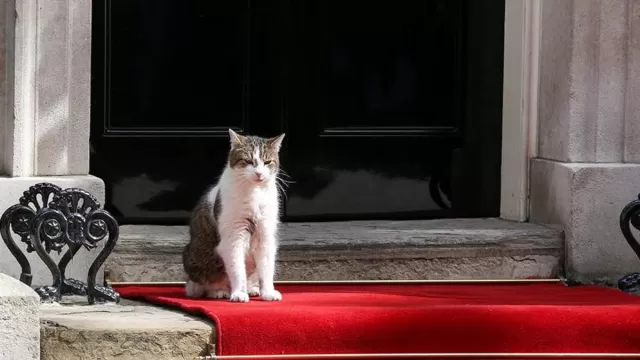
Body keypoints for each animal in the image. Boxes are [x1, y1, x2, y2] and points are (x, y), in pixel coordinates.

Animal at [181, 128, 284, 302]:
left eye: (267, 162)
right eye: (248, 161)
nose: (259, 173)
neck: (254, 192)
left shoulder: (265, 235)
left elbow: (266, 269)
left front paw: (268, 292)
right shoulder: (234, 236)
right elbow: (237, 269)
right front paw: (239, 294)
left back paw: (252, 289)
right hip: (199, 259)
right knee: (204, 284)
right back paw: (219, 291)